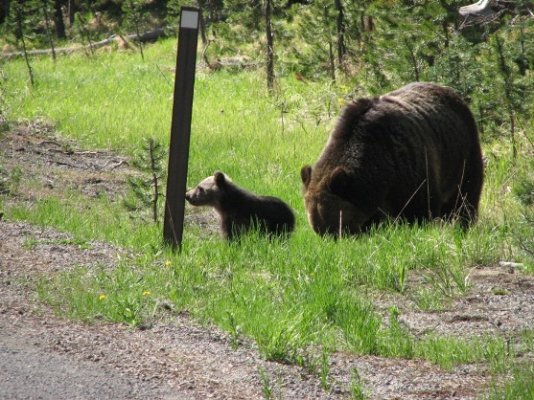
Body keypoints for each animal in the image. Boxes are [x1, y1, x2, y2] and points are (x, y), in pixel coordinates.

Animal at [302, 82, 486, 236]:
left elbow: (422, 208)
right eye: (319, 230)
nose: (337, 239)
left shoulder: (412, 168)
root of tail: (450, 90)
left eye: (338, 226)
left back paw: (463, 224)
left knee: (466, 194)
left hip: (463, 154)